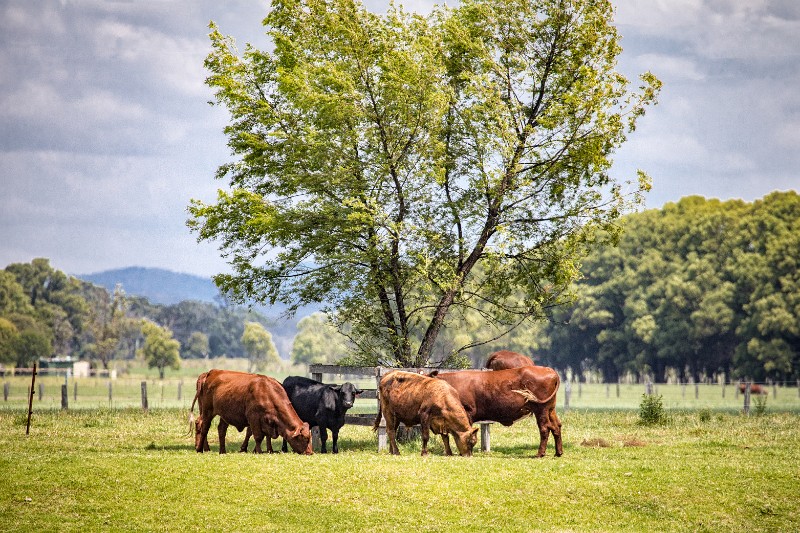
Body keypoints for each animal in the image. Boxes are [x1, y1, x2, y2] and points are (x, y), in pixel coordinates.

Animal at [432, 366, 564, 458]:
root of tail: (548, 370)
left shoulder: (467, 411)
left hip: (541, 410)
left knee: (545, 428)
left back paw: (540, 454)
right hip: (550, 409)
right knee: (556, 426)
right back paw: (558, 452)